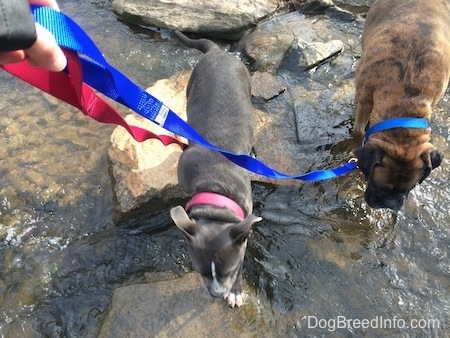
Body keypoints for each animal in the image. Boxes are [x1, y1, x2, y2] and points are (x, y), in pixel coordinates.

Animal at [169, 30, 260, 308]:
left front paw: (236, 291)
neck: (214, 189)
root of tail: (218, 52)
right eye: (200, 272)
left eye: (228, 272)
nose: (216, 294)